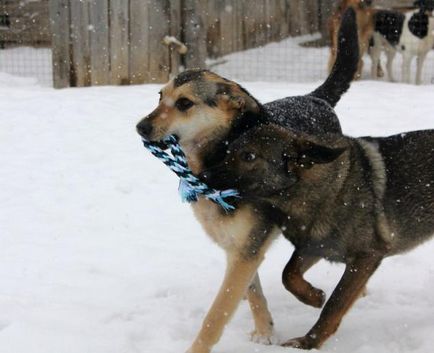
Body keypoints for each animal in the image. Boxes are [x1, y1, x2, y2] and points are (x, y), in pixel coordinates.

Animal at [136, 7, 360, 352]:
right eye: (160, 96)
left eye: (185, 103)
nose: (140, 127)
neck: (218, 156)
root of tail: (315, 98)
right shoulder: (237, 247)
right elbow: (252, 291)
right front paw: (265, 329)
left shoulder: (246, 249)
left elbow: (216, 315)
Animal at [203, 122, 434, 348]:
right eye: (228, 151)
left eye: (248, 156)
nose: (203, 176)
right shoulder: (315, 246)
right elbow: (288, 274)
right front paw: (313, 297)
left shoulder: (365, 258)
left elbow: (334, 304)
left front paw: (309, 342)